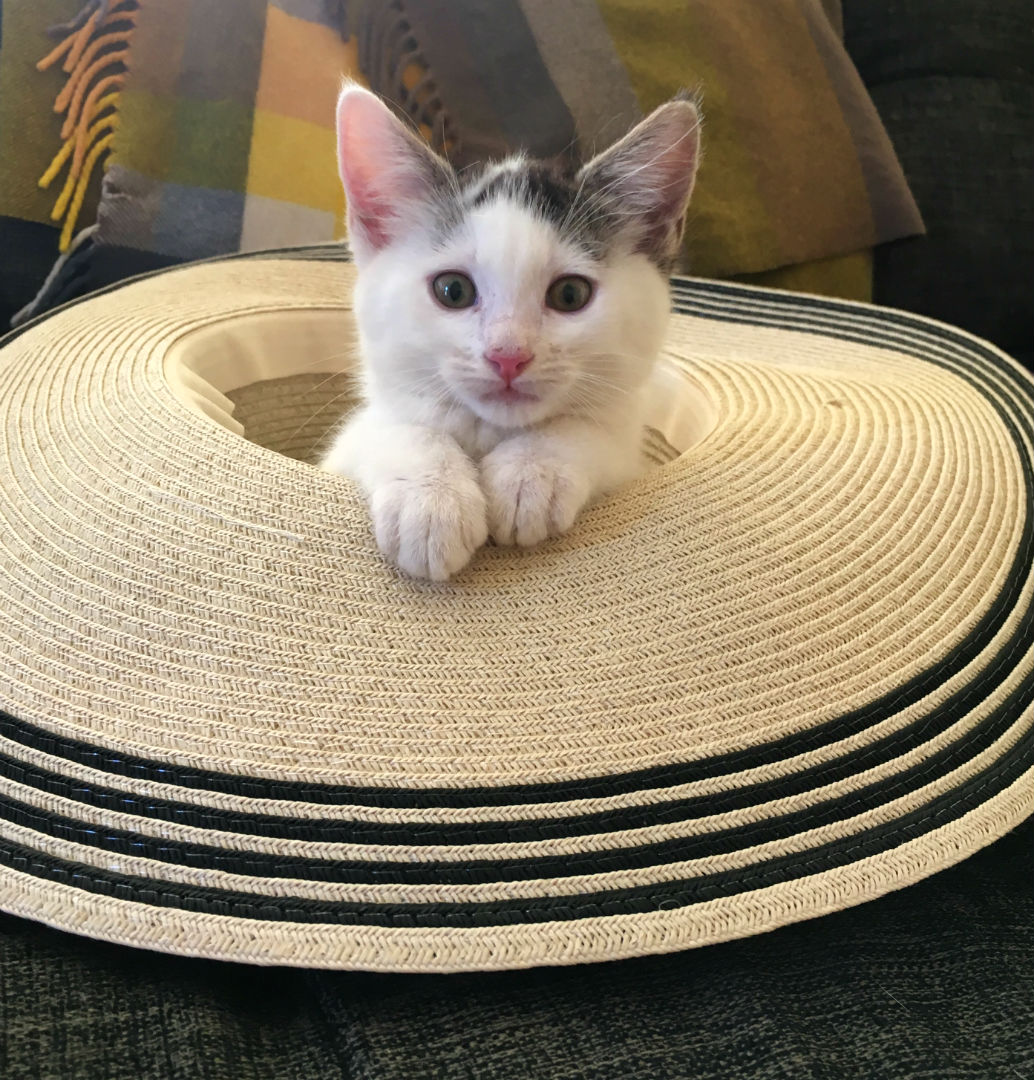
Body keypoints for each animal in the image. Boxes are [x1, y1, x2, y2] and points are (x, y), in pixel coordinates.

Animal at [321, 82, 701, 580]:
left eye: (570, 295)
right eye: (453, 290)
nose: (508, 355)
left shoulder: (627, 458)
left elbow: (590, 431)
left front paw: (531, 473)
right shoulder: (347, 446)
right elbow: (391, 428)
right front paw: (431, 499)